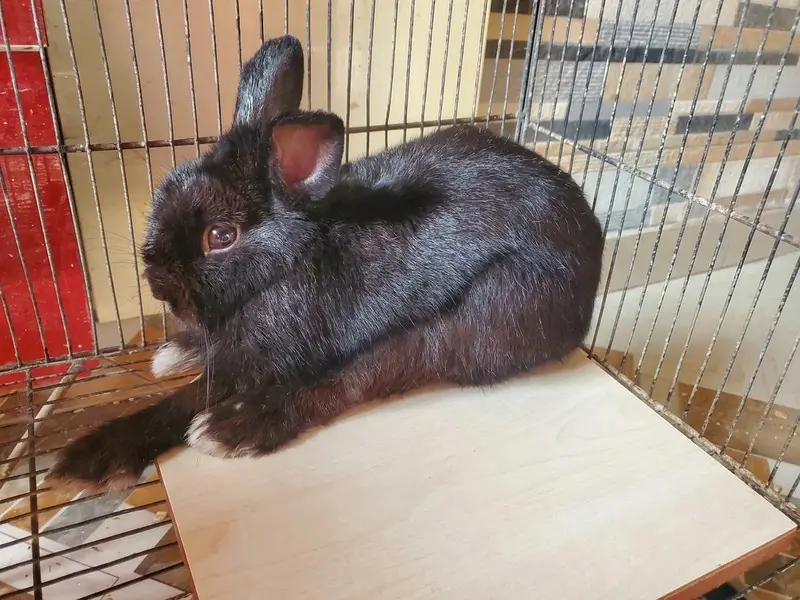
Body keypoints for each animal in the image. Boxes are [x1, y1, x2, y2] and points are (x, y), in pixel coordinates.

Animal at [50, 34, 604, 492]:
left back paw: (234, 427)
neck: (288, 262)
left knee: (363, 375)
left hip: (486, 314)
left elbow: (192, 397)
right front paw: (97, 446)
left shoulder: (259, 357)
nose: (157, 280)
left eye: (221, 236)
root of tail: (590, 243)